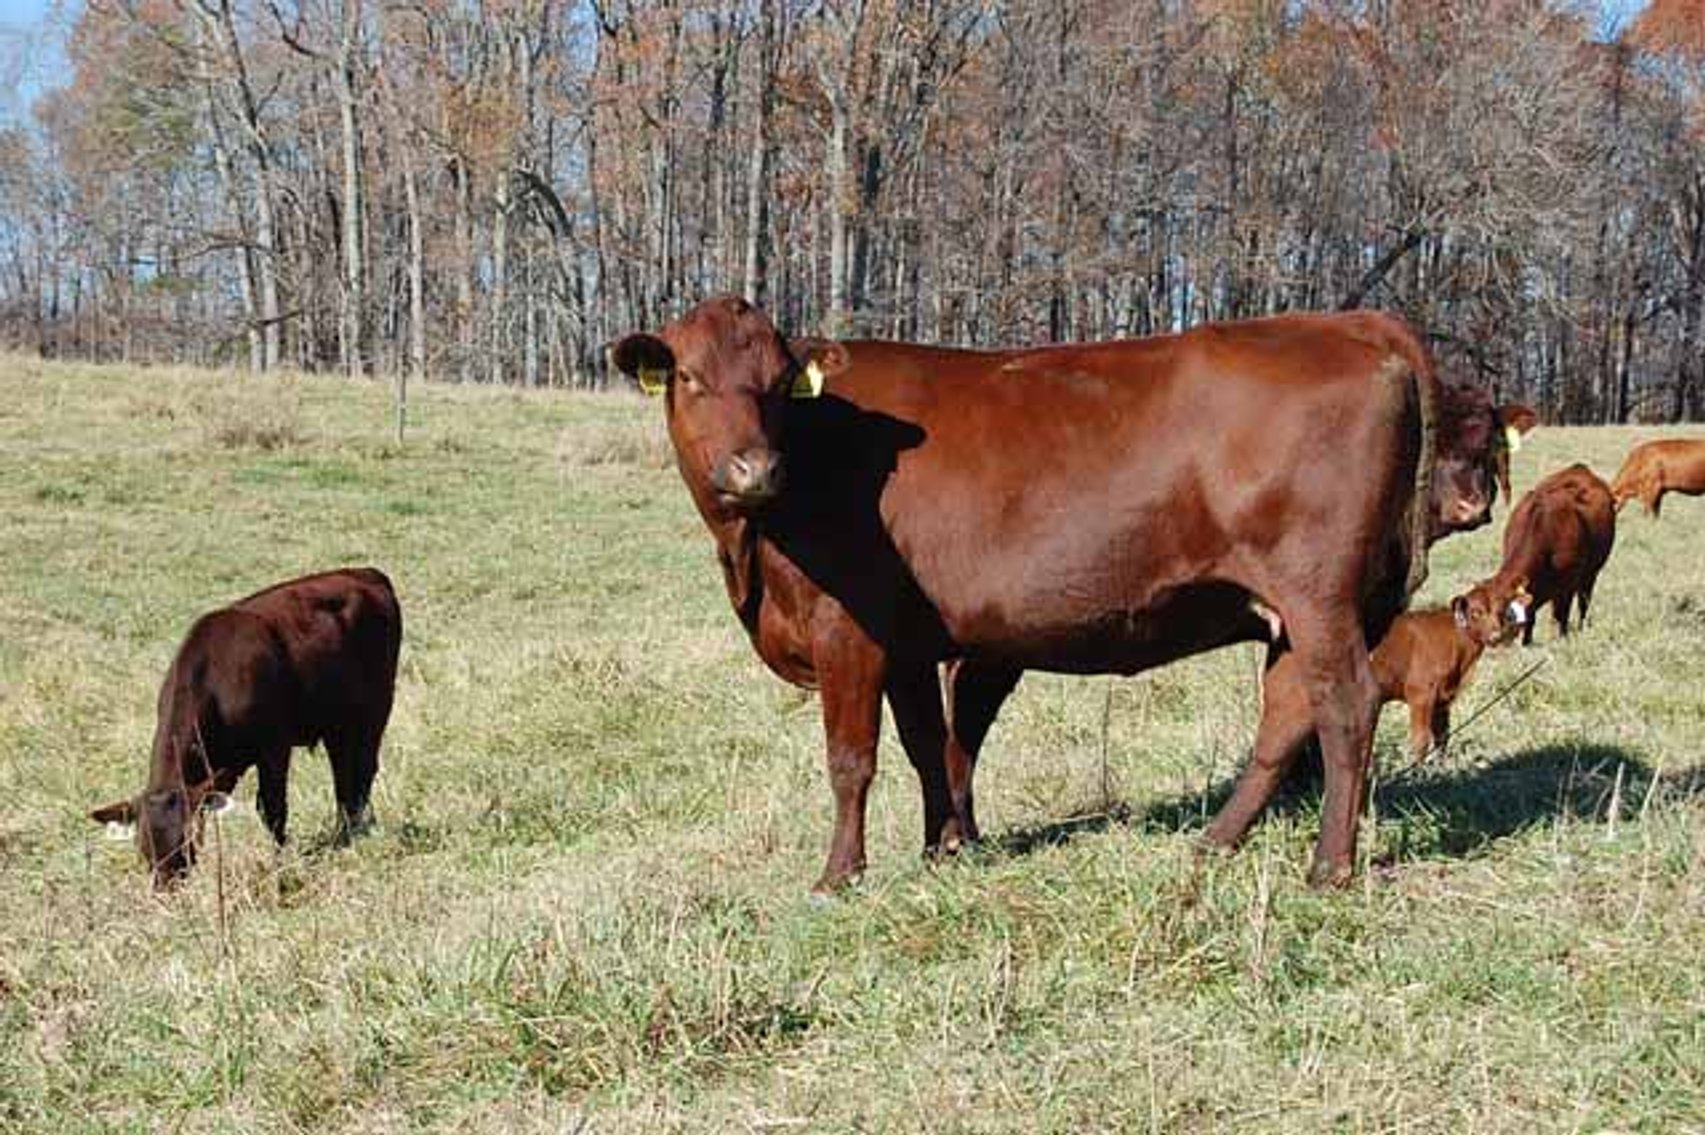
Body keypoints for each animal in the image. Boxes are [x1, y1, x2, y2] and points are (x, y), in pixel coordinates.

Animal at [88, 568, 401, 888]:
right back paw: (345, 829)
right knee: (343, 775)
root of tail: (365, 573)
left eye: (186, 841)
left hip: (377, 706)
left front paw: (279, 866)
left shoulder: (274, 747)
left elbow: (272, 810)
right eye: (143, 846)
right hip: (335, 722)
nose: (167, 889)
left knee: (365, 768)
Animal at [614, 296, 1514, 891]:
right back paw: (1213, 843)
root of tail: (1345, 322)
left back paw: (1327, 866)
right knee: (1287, 715)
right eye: (688, 377)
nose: (752, 467)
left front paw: (840, 874)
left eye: (775, 384)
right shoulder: (908, 642)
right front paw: (943, 848)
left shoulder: (848, 631)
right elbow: (928, 746)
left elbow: (852, 760)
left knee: (1345, 707)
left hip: (1318, 595)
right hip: (1289, 613)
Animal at [1456, 464, 1616, 647]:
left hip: (1591, 573)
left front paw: (1562, 637)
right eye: (1476, 612)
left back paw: (1580, 627)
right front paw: (1527, 642)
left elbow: (1562, 614)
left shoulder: (1567, 585)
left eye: (1504, 612)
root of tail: (1579, 468)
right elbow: (1531, 616)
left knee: (1583, 602)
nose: (1492, 637)